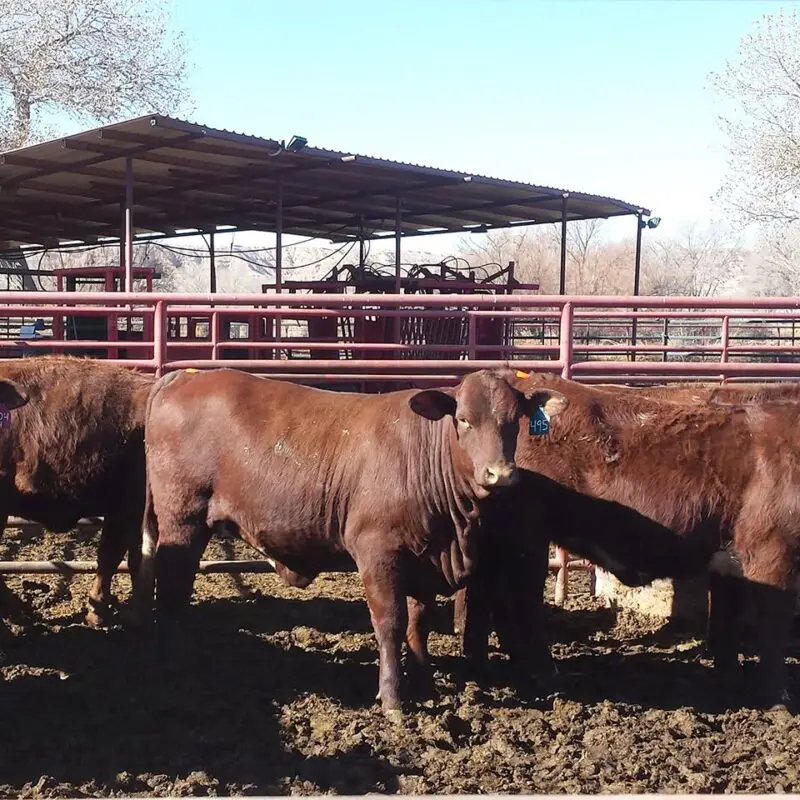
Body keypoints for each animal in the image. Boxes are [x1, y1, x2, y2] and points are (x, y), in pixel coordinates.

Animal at [134, 366, 568, 717]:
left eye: (516, 421)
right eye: (463, 420)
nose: (501, 474)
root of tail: (183, 377)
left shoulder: (423, 555)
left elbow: (419, 620)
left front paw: (425, 682)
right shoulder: (377, 552)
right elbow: (390, 622)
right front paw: (393, 699)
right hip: (182, 520)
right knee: (172, 587)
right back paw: (174, 658)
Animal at [454, 372, 800, 710]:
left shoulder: (730, 559)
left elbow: (726, 620)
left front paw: (727, 677)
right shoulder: (772, 552)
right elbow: (773, 628)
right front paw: (778, 700)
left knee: (487, 595)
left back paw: (484, 666)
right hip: (527, 535)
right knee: (518, 598)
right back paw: (542, 671)